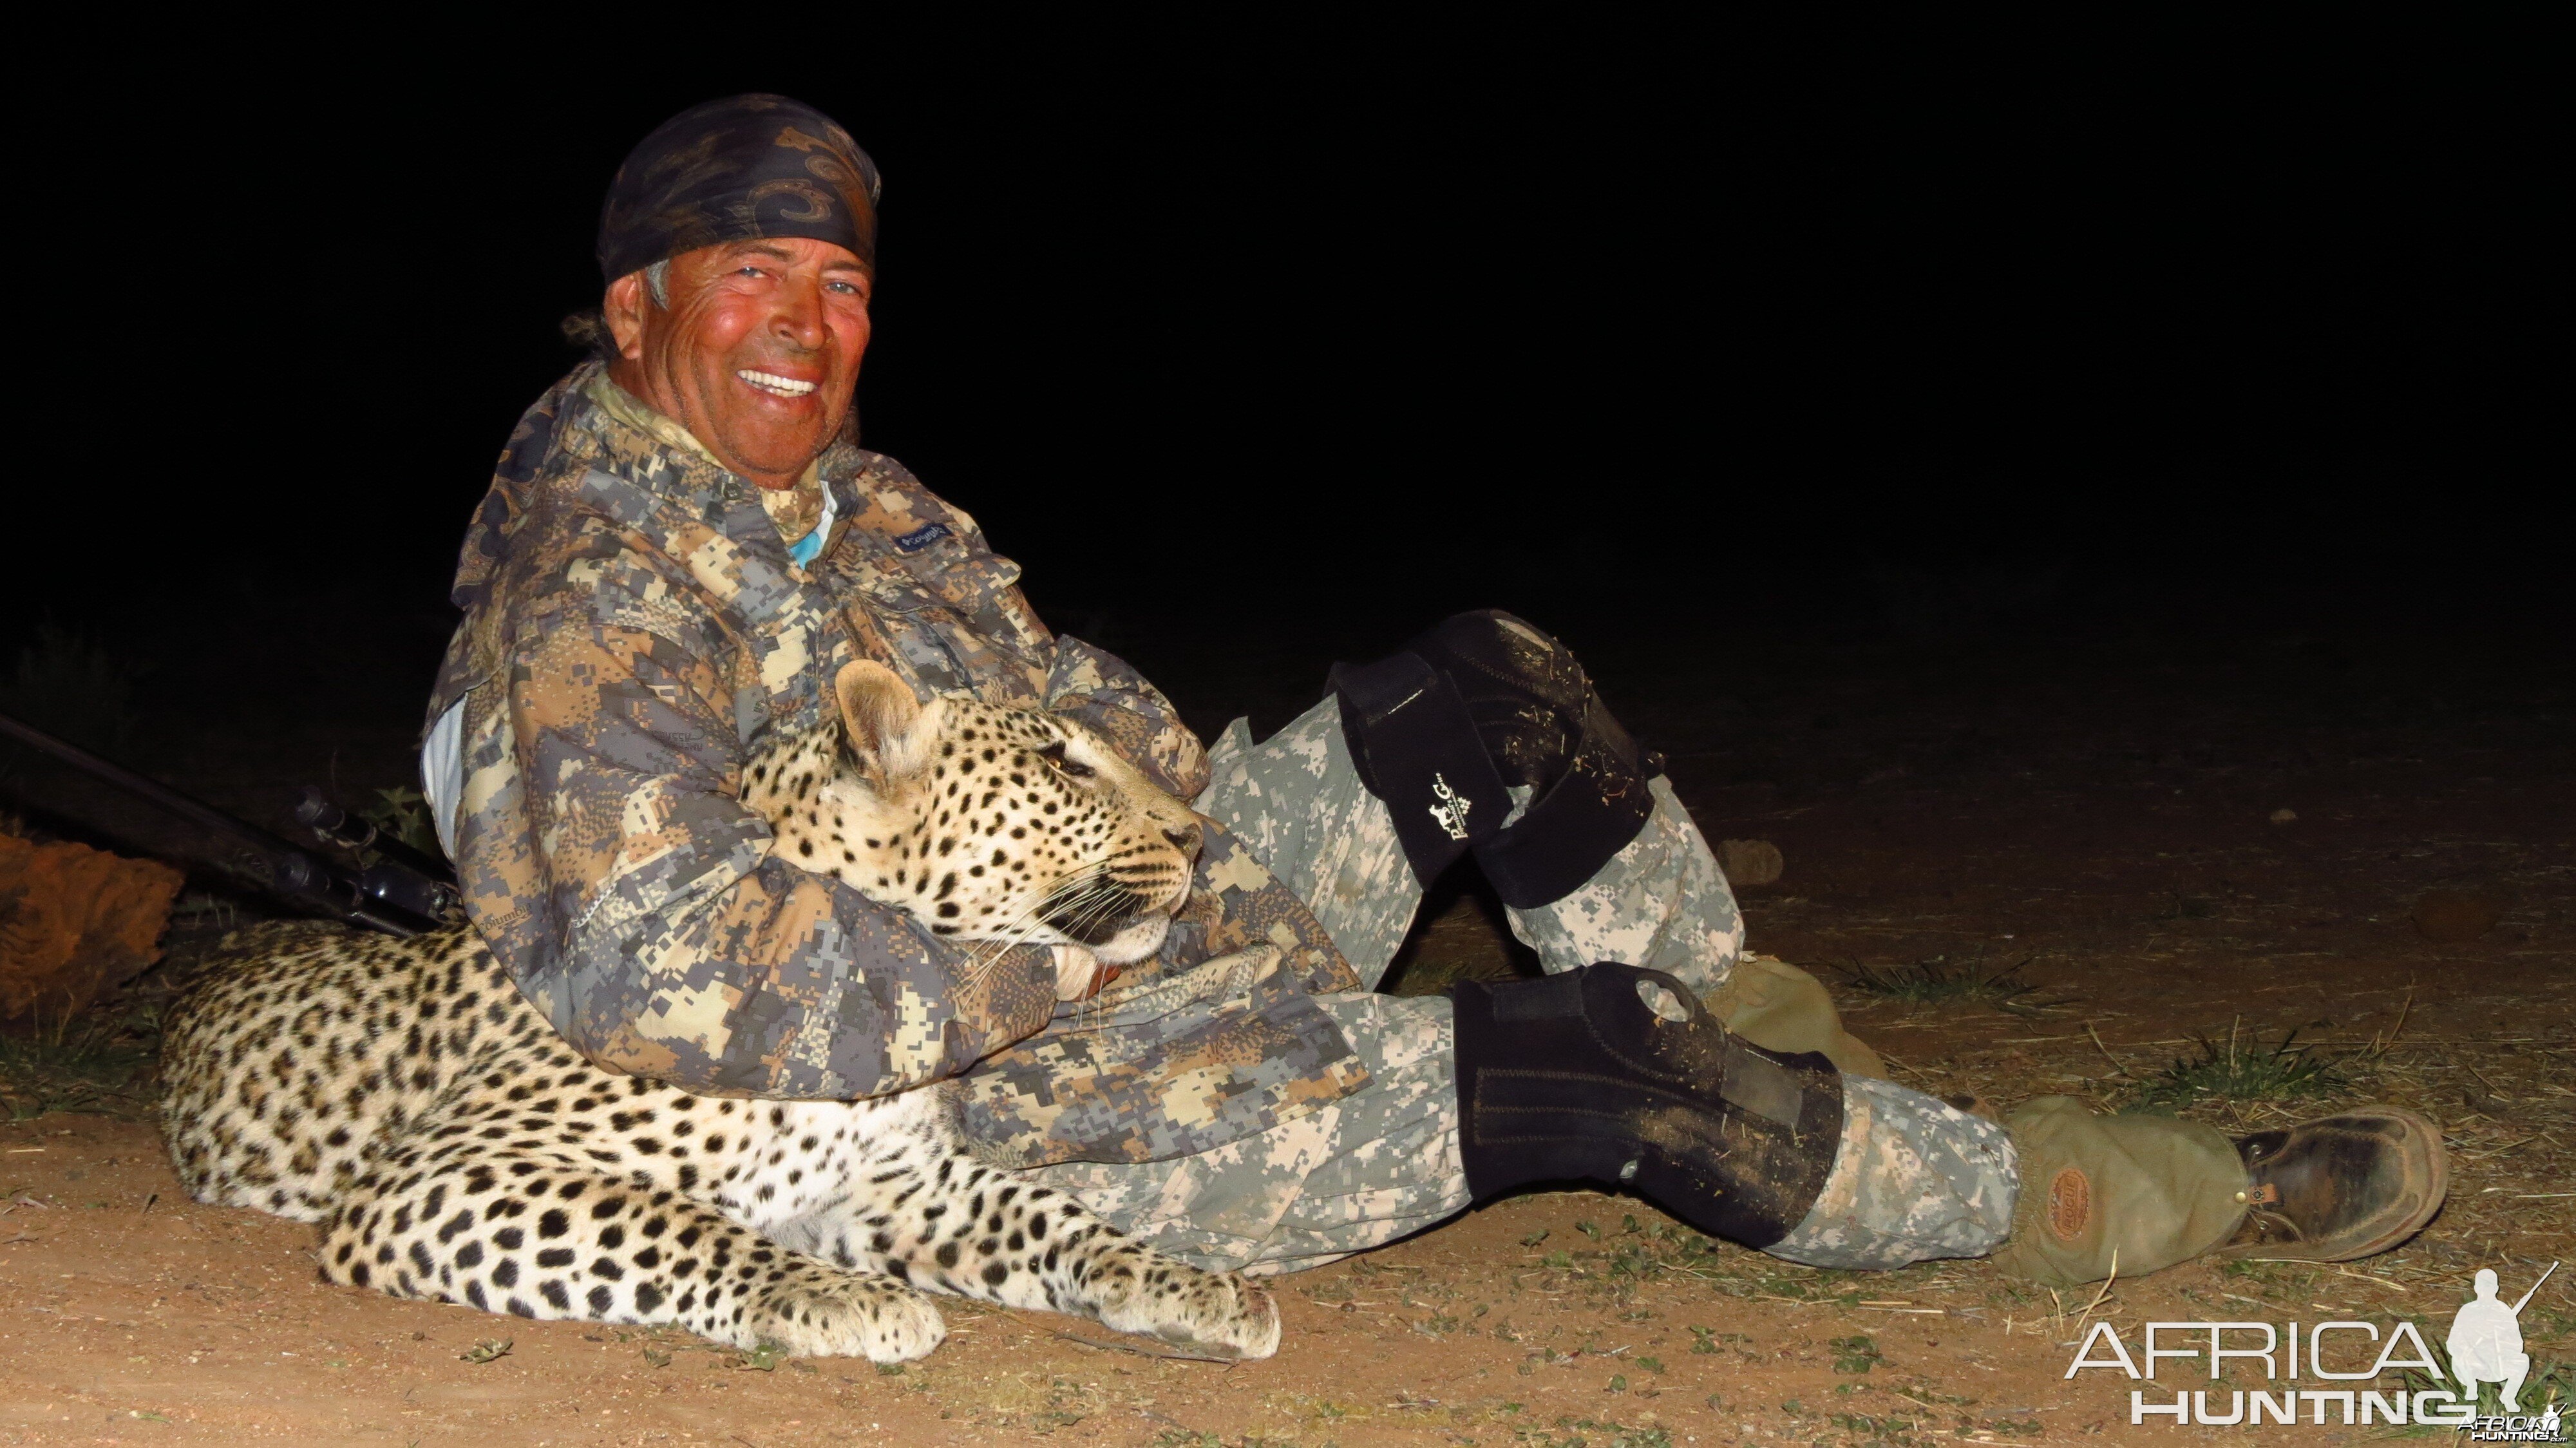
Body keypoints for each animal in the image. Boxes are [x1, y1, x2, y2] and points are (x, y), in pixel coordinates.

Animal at [156, 660, 1283, 1360]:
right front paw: (844, 1297)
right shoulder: (441, 1172)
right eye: (1061, 765)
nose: (1196, 838)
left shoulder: (898, 1185)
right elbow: (668, 1221)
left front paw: (1189, 1282)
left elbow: (1052, 1213)